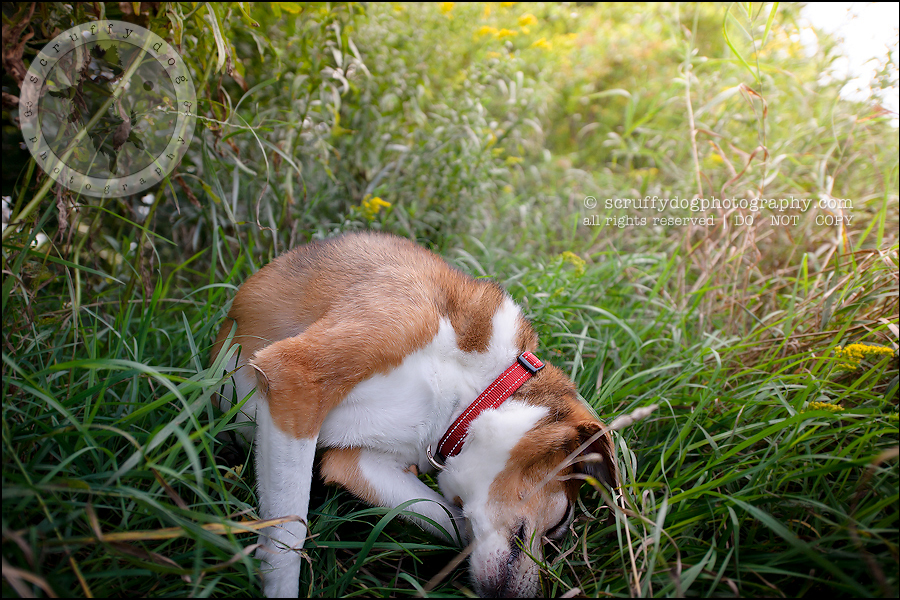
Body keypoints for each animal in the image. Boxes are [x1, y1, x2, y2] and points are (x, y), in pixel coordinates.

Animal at [211, 232, 620, 596]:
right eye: (562, 522)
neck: (474, 394)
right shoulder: (294, 376)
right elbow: (287, 538)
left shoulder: (359, 462)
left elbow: (451, 521)